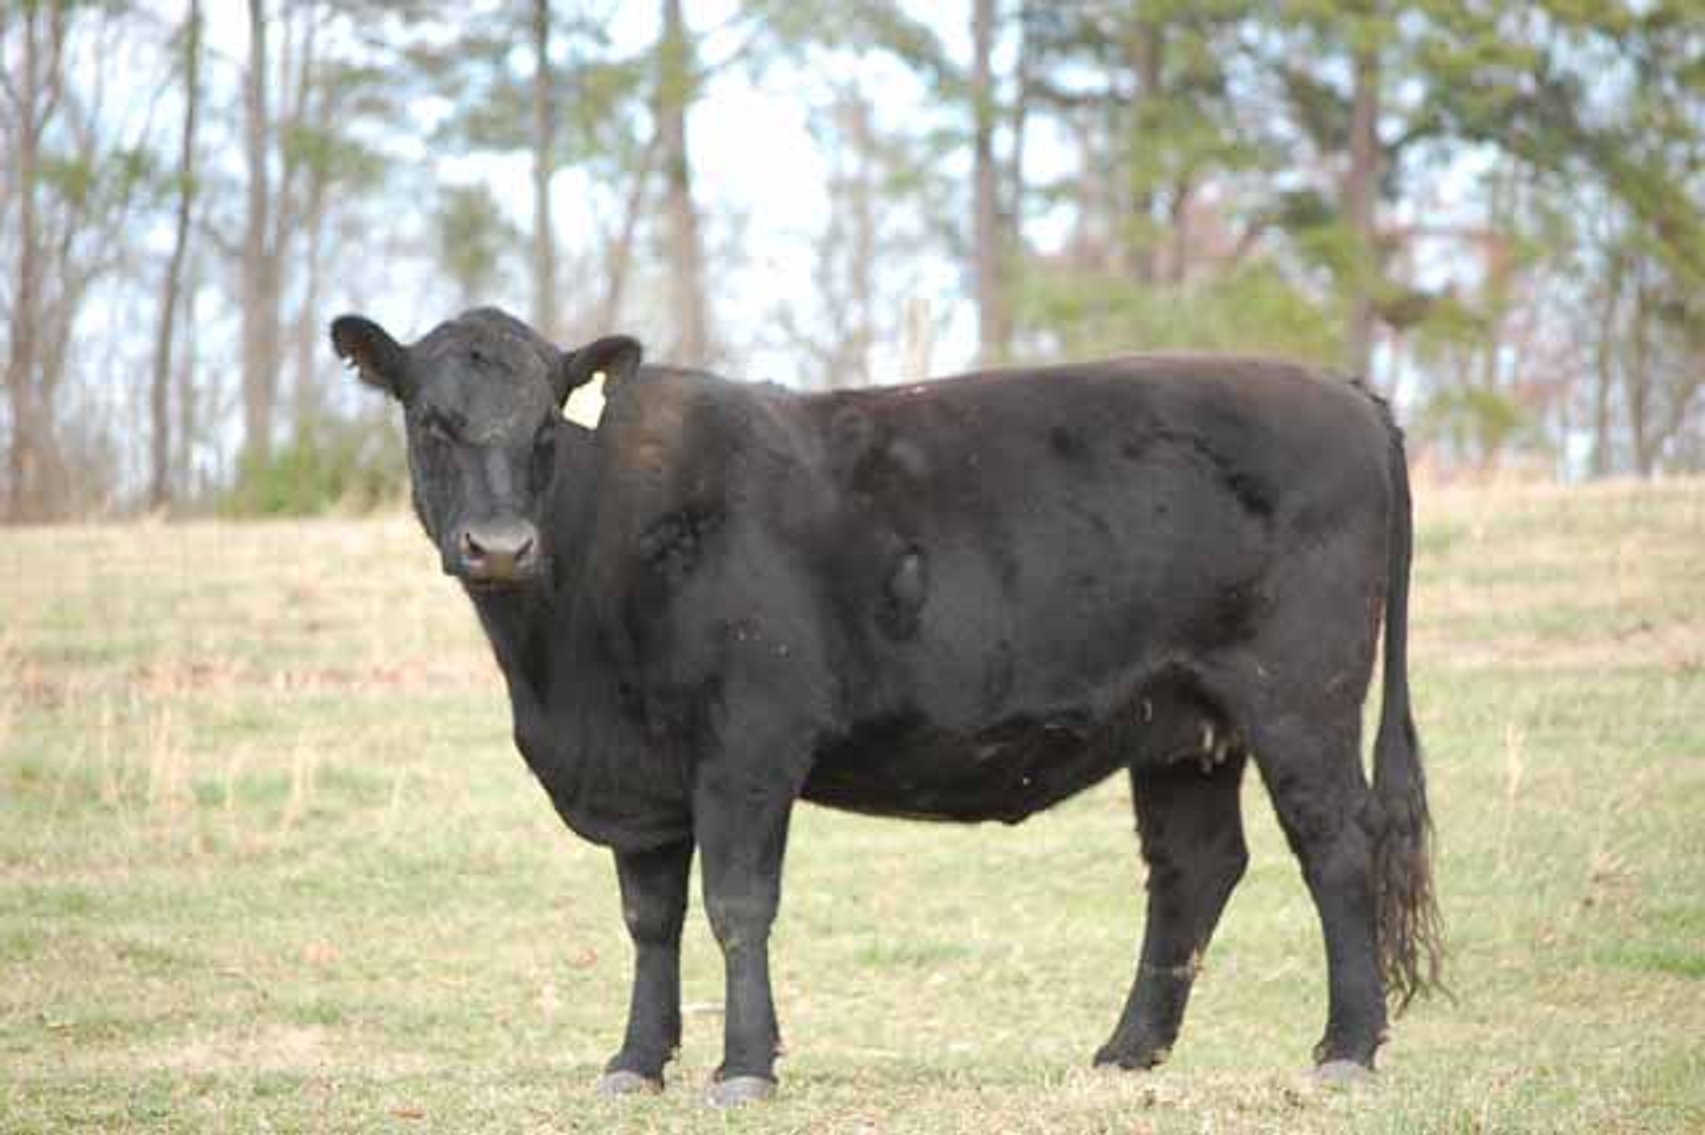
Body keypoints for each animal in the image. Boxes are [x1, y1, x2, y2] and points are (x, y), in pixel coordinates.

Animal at [330, 307, 1441, 1106]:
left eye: (545, 427)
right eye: (430, 422)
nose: (499, 546)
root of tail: (1342, 391)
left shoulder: (749, 742)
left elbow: (736, 904)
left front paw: (745, 1066)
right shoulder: (639, 778)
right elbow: (650, 919)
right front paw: (636, 1061)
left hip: (1299, 696)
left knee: (1335, 843)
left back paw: (1345, 1046)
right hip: (1179, 722)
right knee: (1194, 867)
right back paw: (1127, 1050)